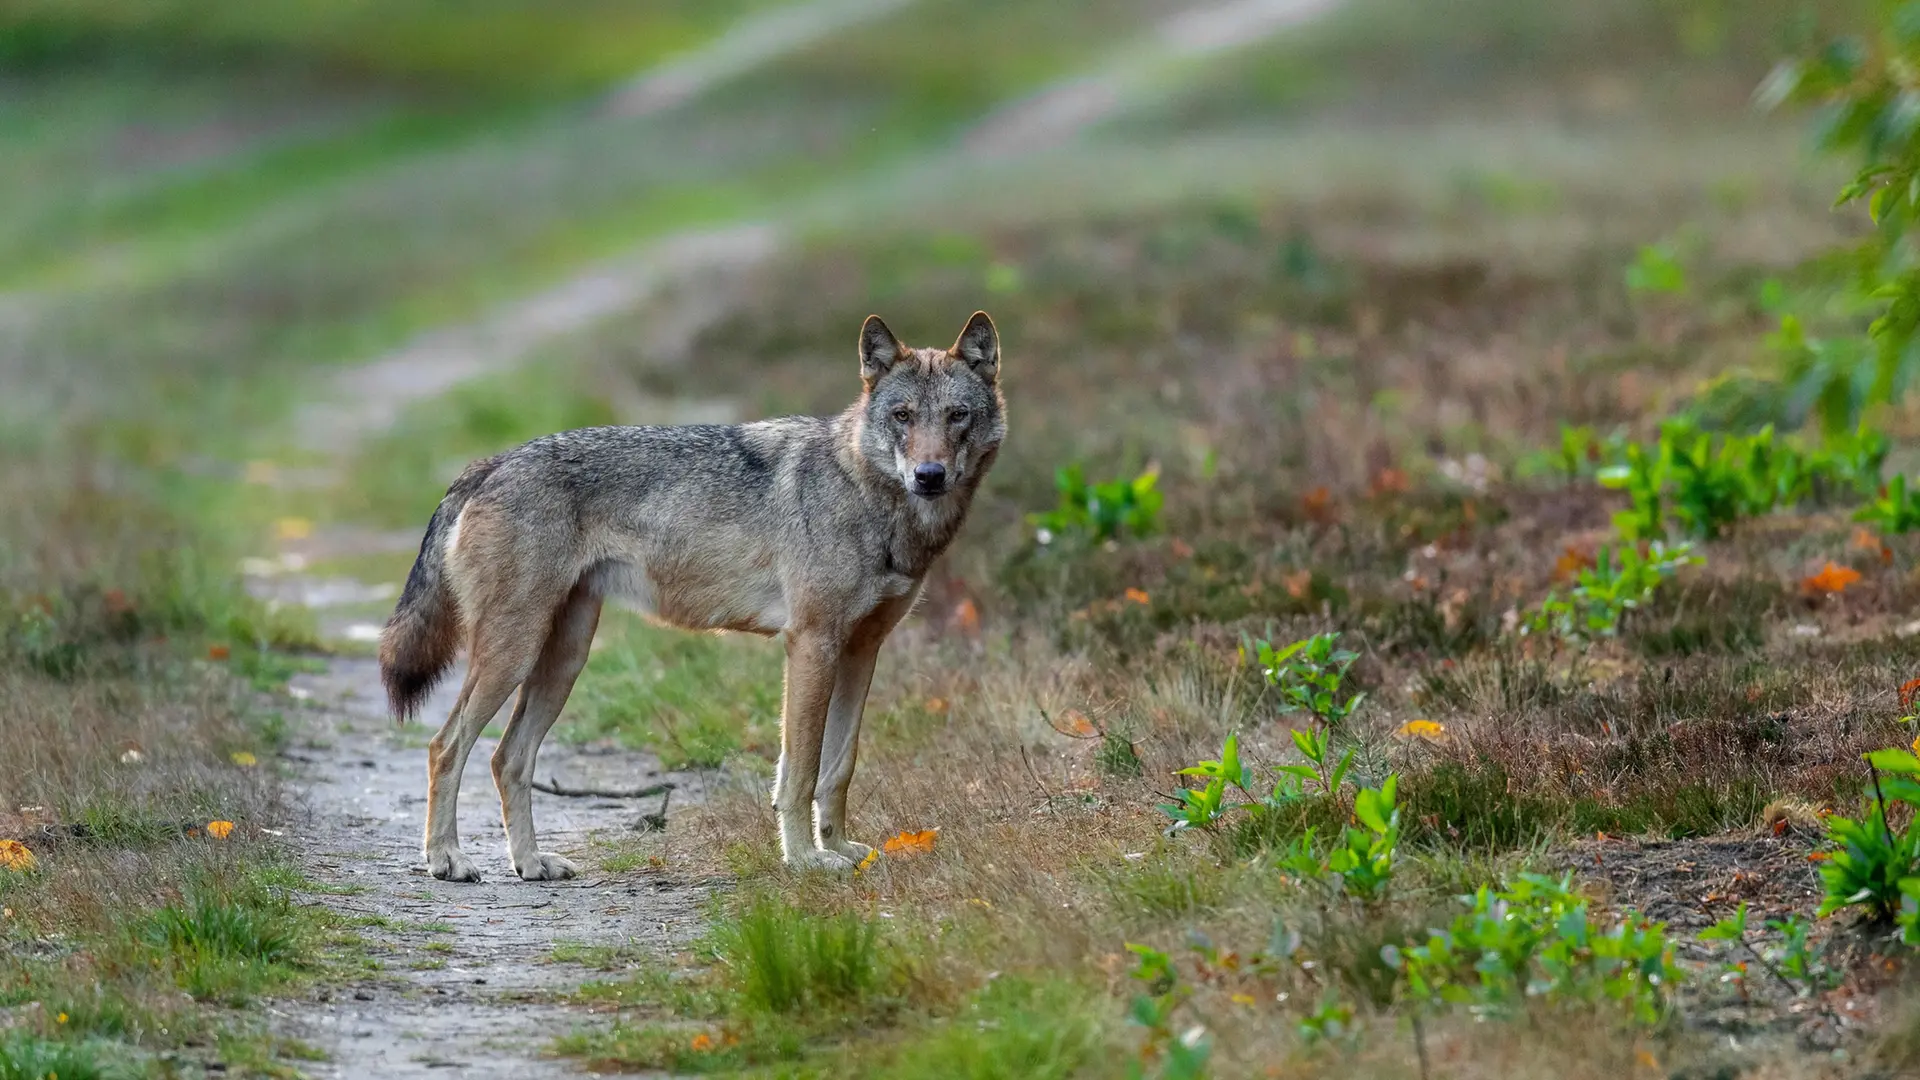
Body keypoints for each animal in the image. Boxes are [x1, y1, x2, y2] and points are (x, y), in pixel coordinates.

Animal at [377, 312, 1005, 879]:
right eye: (903, 416)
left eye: (957, 416)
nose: (929, 474)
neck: (871, 497)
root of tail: (492, 462)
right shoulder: (810, 644)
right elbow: (799, 771)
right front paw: (805, 860)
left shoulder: (861, 650)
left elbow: (839, 766)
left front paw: (843, 850)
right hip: (513, 654)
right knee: (444, 746)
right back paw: (447, 860)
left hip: (563, 660)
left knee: (507, 757)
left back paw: (531, 864)